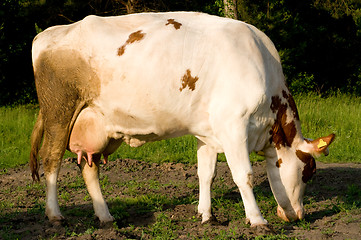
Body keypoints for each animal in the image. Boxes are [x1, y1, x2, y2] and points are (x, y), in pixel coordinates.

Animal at [29, 12, 334, 228]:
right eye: (309, 171)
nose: (298, 216)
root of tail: (49, 33)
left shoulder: (208, 132)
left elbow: (206, 174)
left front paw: (207, 216)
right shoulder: (234, 126)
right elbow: (243, 175)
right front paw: (258, 220)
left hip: (97, 124)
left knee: (89, 168)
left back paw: (105, 217)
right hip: (59, 112)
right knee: (51, 159)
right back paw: (55, 215)